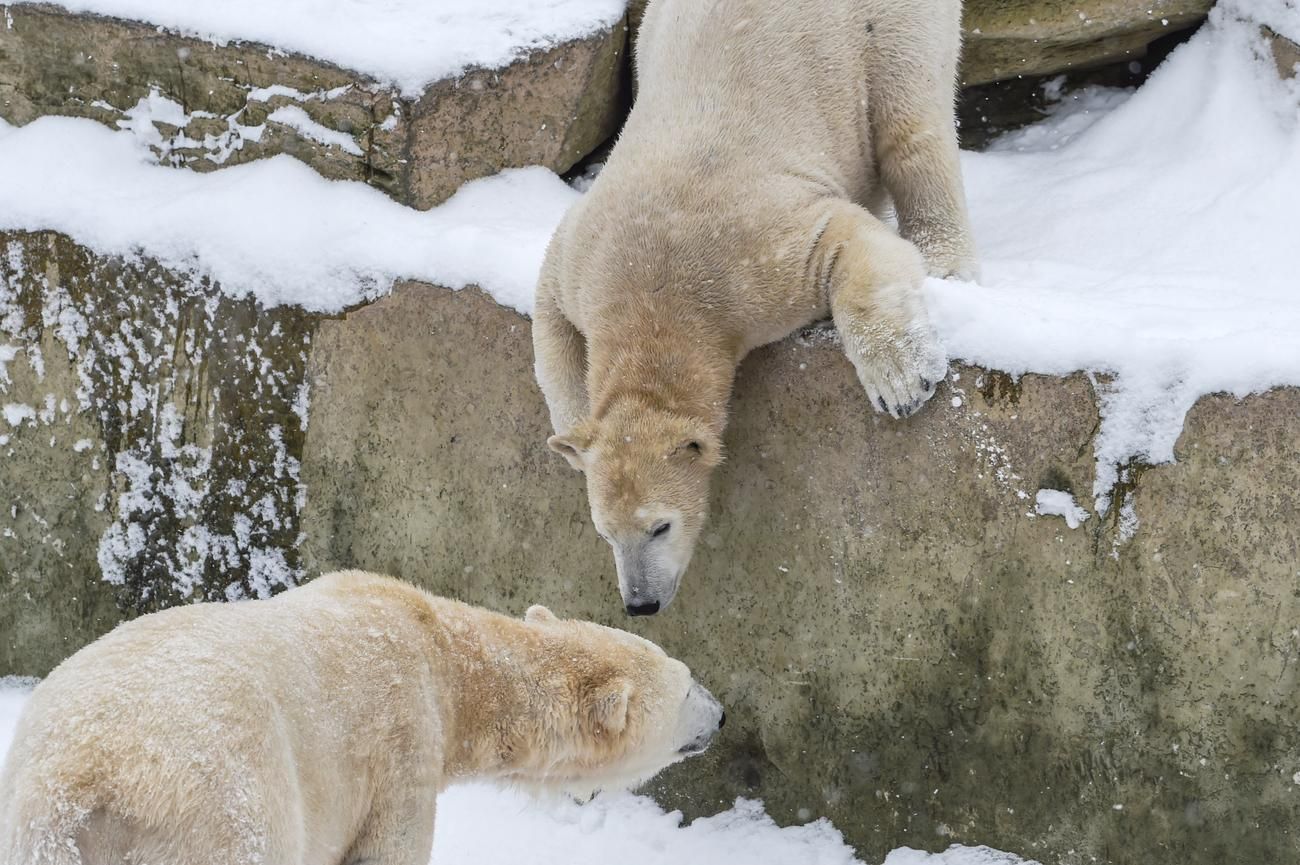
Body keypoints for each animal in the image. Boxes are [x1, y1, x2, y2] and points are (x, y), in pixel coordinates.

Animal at [0, 569, 722, 858]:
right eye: (689, 685)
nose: (720, 715)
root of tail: (79, 784)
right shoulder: (401, 744)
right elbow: (388, 849)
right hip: (216, 810)